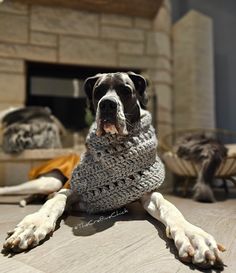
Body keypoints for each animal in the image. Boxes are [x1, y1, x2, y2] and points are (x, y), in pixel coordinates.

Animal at [1, 72, 225, 268]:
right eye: (98, 91)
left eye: (126, 90)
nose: (107, 104)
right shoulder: (69, 189)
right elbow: (55, 202)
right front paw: (32, 225)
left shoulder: (148, 194)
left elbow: (168, 207)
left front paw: (193, 236)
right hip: (49, 181)